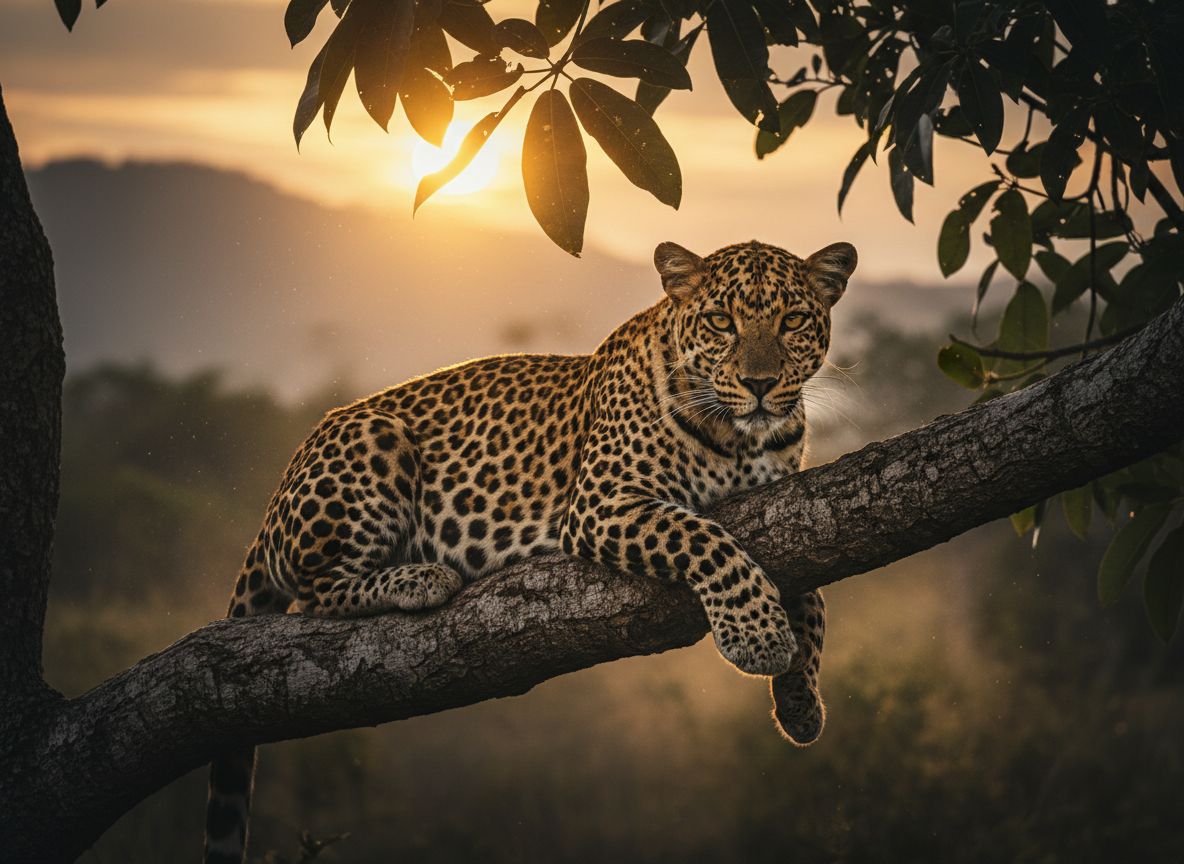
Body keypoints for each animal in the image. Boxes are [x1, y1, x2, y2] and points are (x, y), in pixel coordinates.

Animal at [203, 238, 857, 864]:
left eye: (793, 320)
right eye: (721, 321)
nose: (760, 385)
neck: (745, 443)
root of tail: (278, 494)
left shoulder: (784, 502)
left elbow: (812, 594)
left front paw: (800, 703)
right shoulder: (603, 500)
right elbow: (709, 540)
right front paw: (759, 639)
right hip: (372, 437)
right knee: (315, 594)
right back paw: (418, 578)